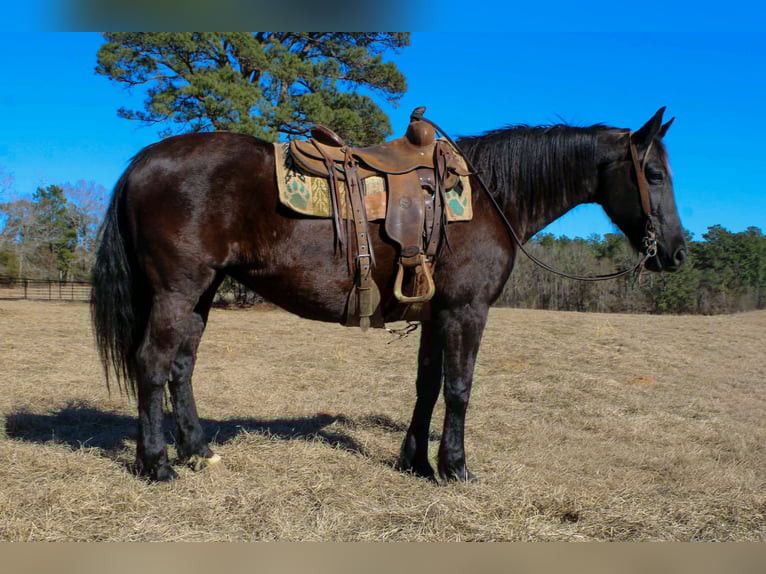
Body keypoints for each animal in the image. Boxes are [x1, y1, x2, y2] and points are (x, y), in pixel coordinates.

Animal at [91, 107, 686, 482]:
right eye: (654, 174)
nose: (676, 253)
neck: (491, 197)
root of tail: (143, 162)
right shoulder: (466, 312)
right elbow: (459, 389)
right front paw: (455, 467)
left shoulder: (435, 313)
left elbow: (427, 387)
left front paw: (415, 462)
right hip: (177, 290)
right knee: (152, 364)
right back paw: (157, 464)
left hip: (201, 293)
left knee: (181, 366)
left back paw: (199, 451)